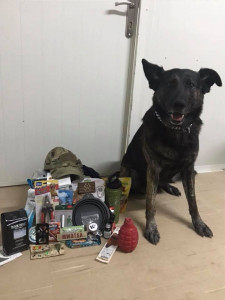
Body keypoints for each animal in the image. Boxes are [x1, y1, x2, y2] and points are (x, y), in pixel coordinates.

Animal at [120, 58, 222, 244]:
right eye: (169, 83)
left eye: (191, 85)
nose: (179, 104)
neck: (177, 132)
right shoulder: (153, 169)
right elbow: (151, 203)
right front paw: (151, 228)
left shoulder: (189, 169)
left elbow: (193, 201)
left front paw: (199, 223)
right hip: (130, 172)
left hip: (178, 174)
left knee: (165, 182)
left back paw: (170, 187)